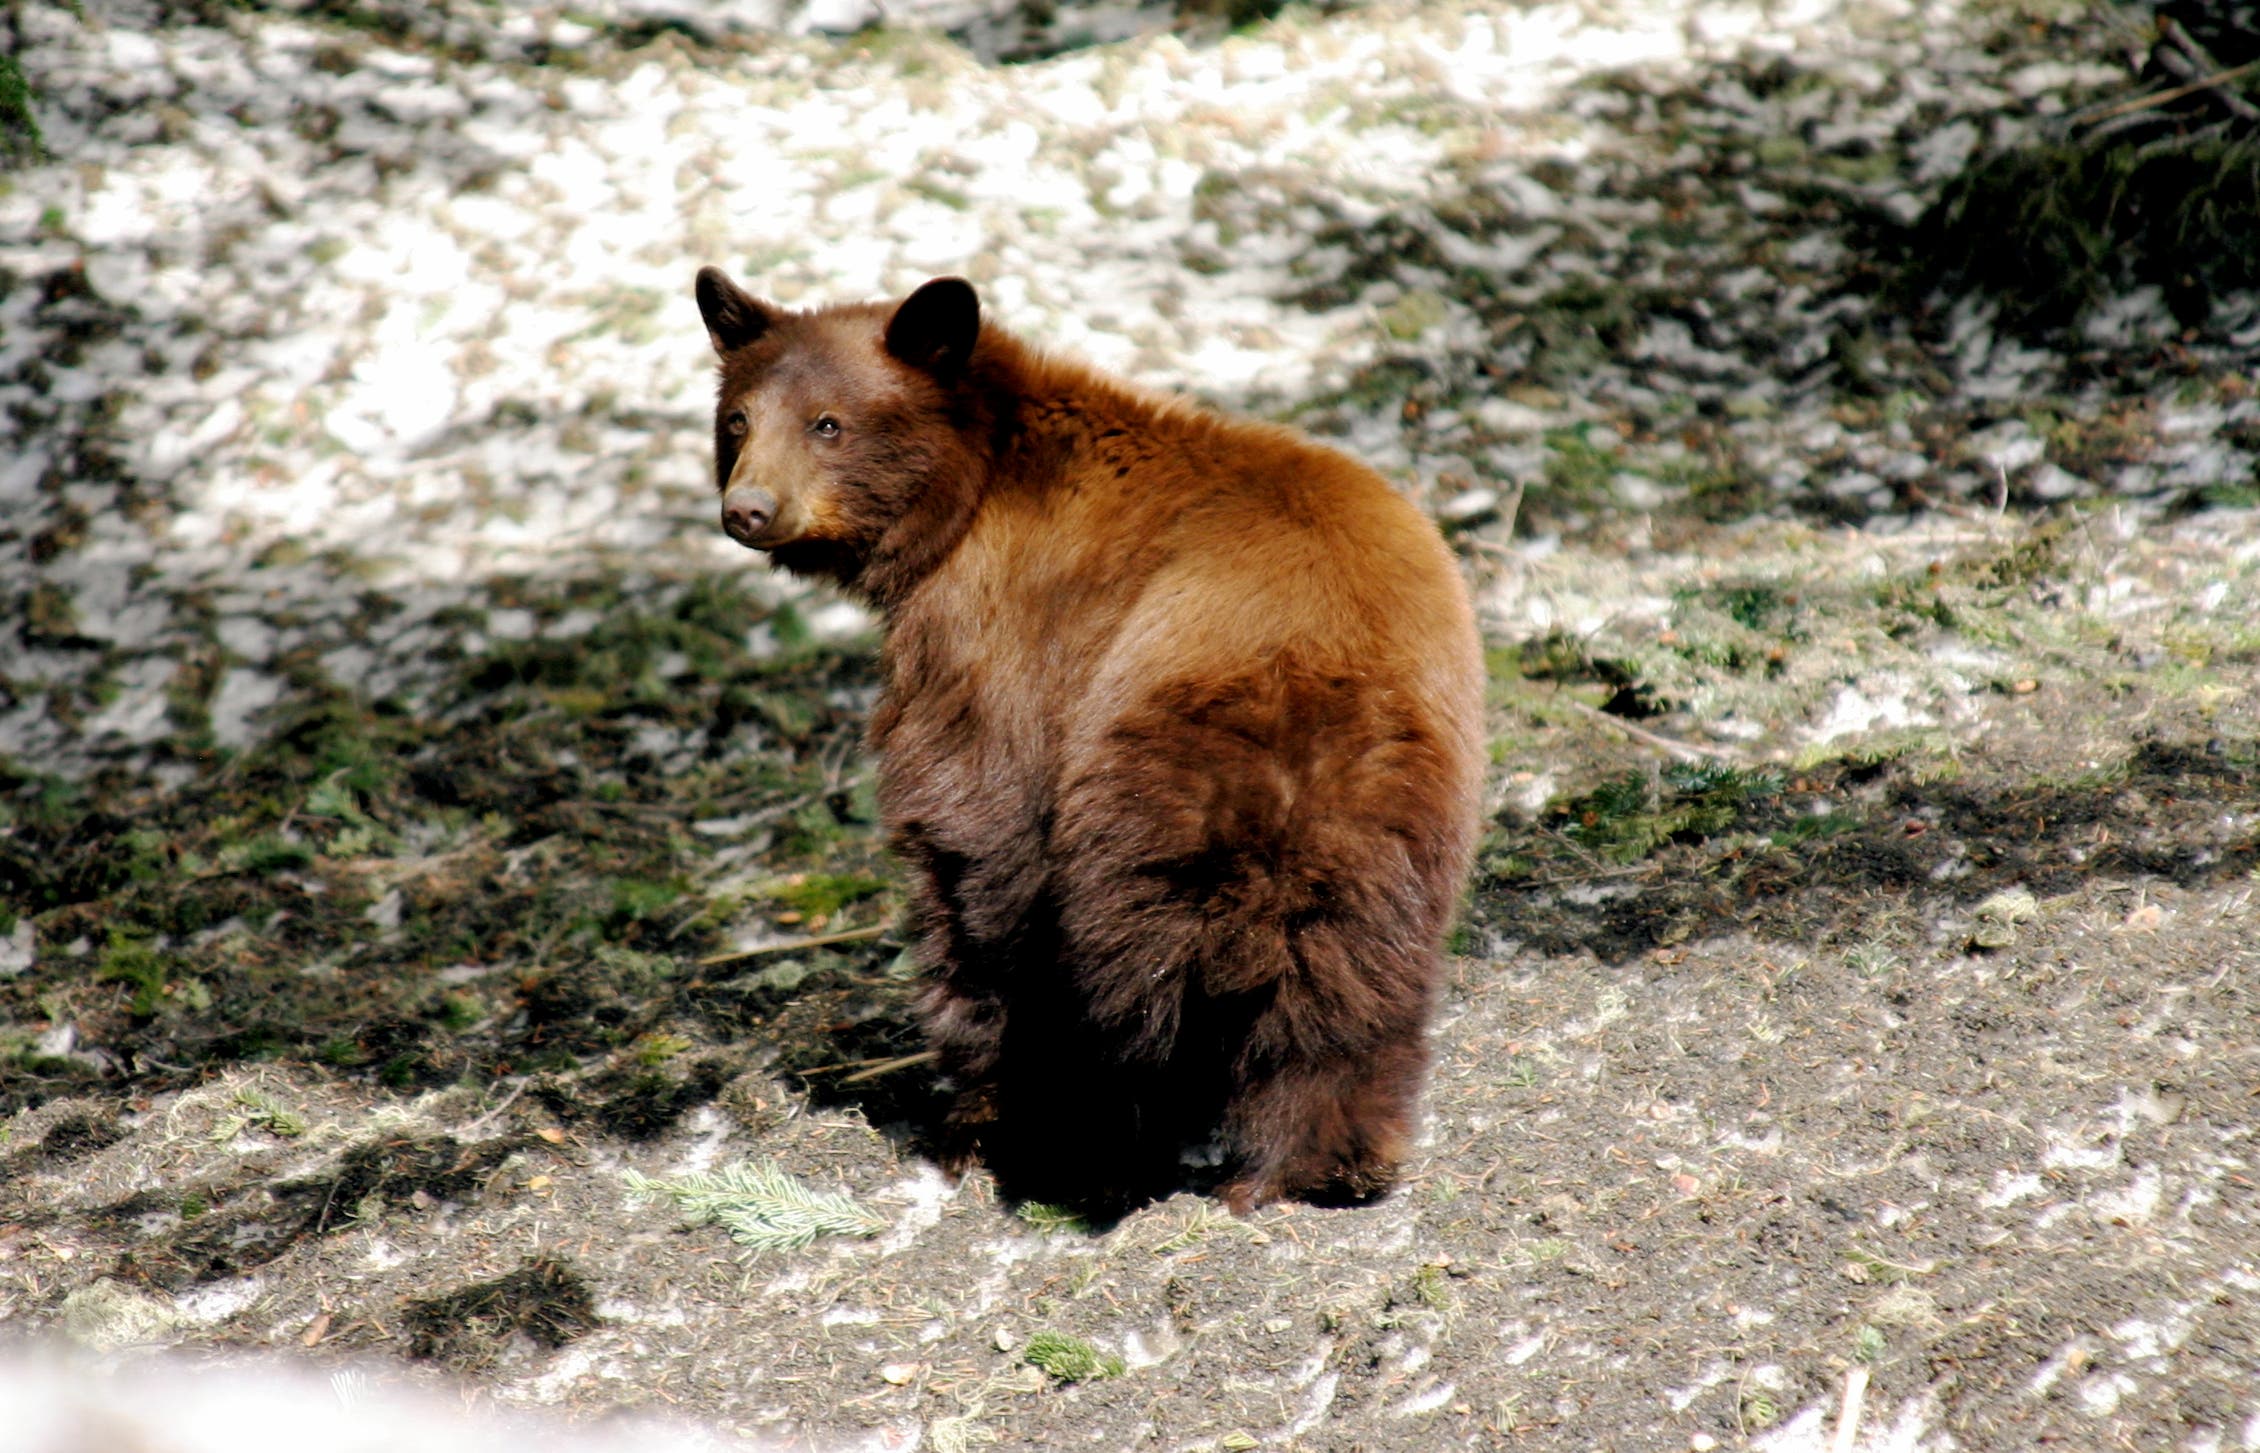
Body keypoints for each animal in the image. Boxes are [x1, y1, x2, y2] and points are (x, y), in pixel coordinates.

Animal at [693, 268, 1486, 1214]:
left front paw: (977, 1121)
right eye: (738, 420)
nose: (749, 508)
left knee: (1118, 985)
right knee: (1351, 982)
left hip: (1142, 793)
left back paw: (1079, 1150)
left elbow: (973, 833)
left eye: (828, 424)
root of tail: (1308, 683)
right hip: (1396, 814)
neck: (977, 479)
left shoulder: (991, 642)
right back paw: (1312, 1163)